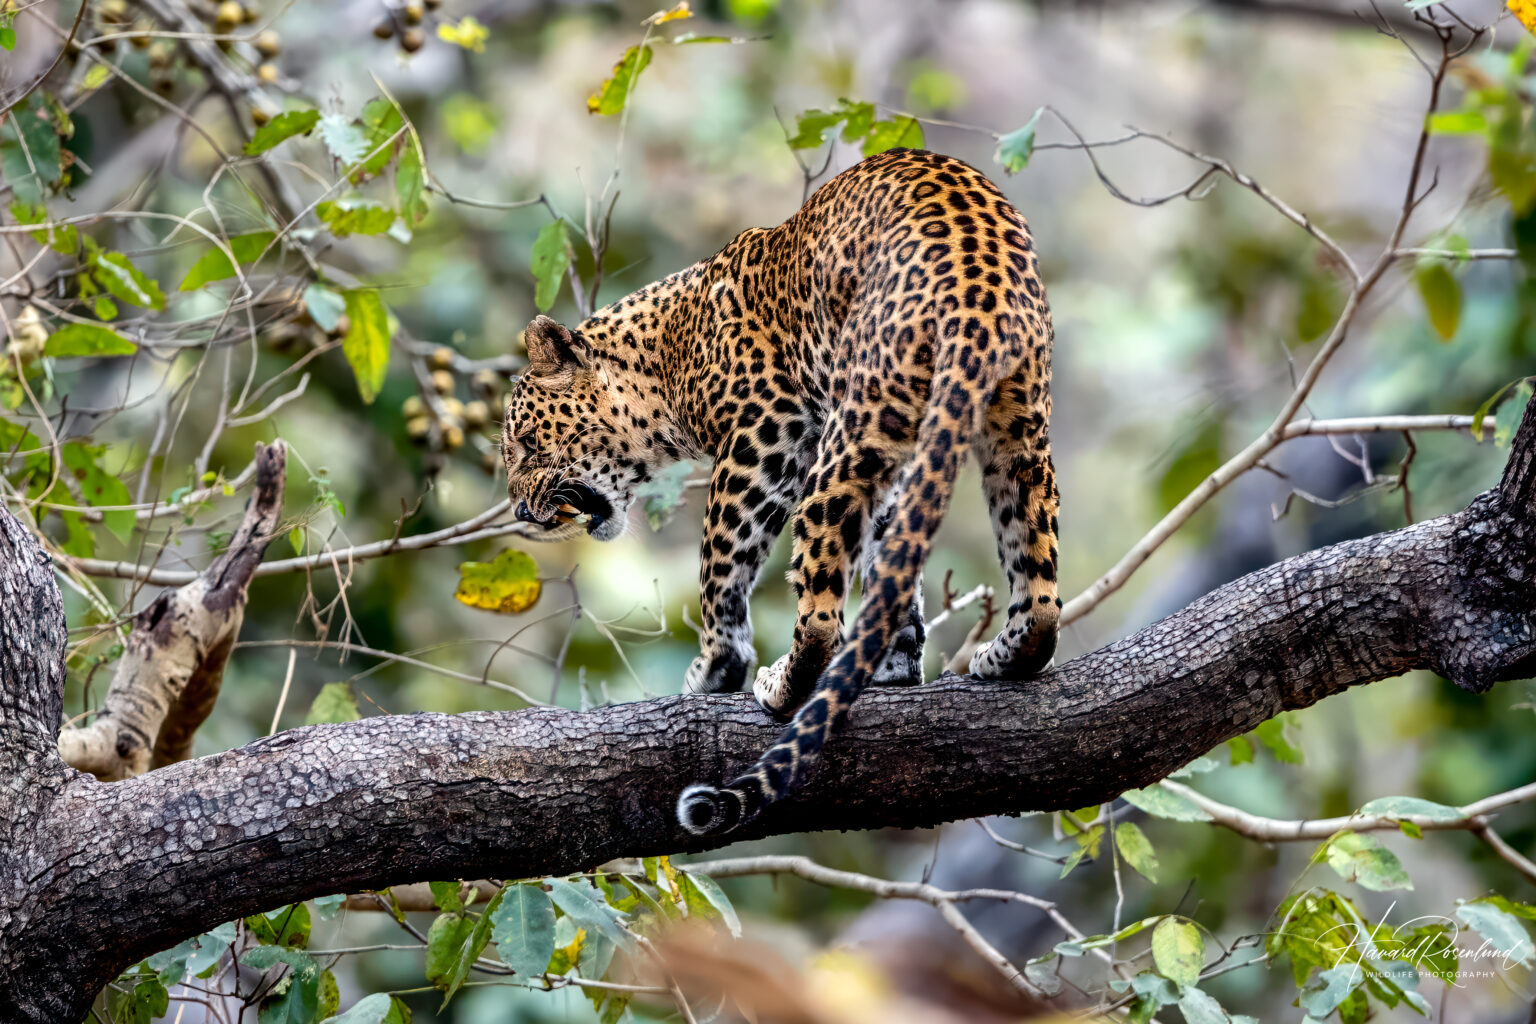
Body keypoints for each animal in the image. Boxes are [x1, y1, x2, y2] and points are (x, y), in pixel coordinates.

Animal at [501, 147, 1059, 838]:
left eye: (526, 443)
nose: (521, 510)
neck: (663, 359)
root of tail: (978, 290)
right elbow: (891, 565)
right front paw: (896, 665)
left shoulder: (762, 440)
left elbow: (721, 564)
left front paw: (716, 669)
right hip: (1017, 432)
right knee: (1039, 589)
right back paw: (1006, 657)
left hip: (849, 432)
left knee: (818, 615)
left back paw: (783, 684)